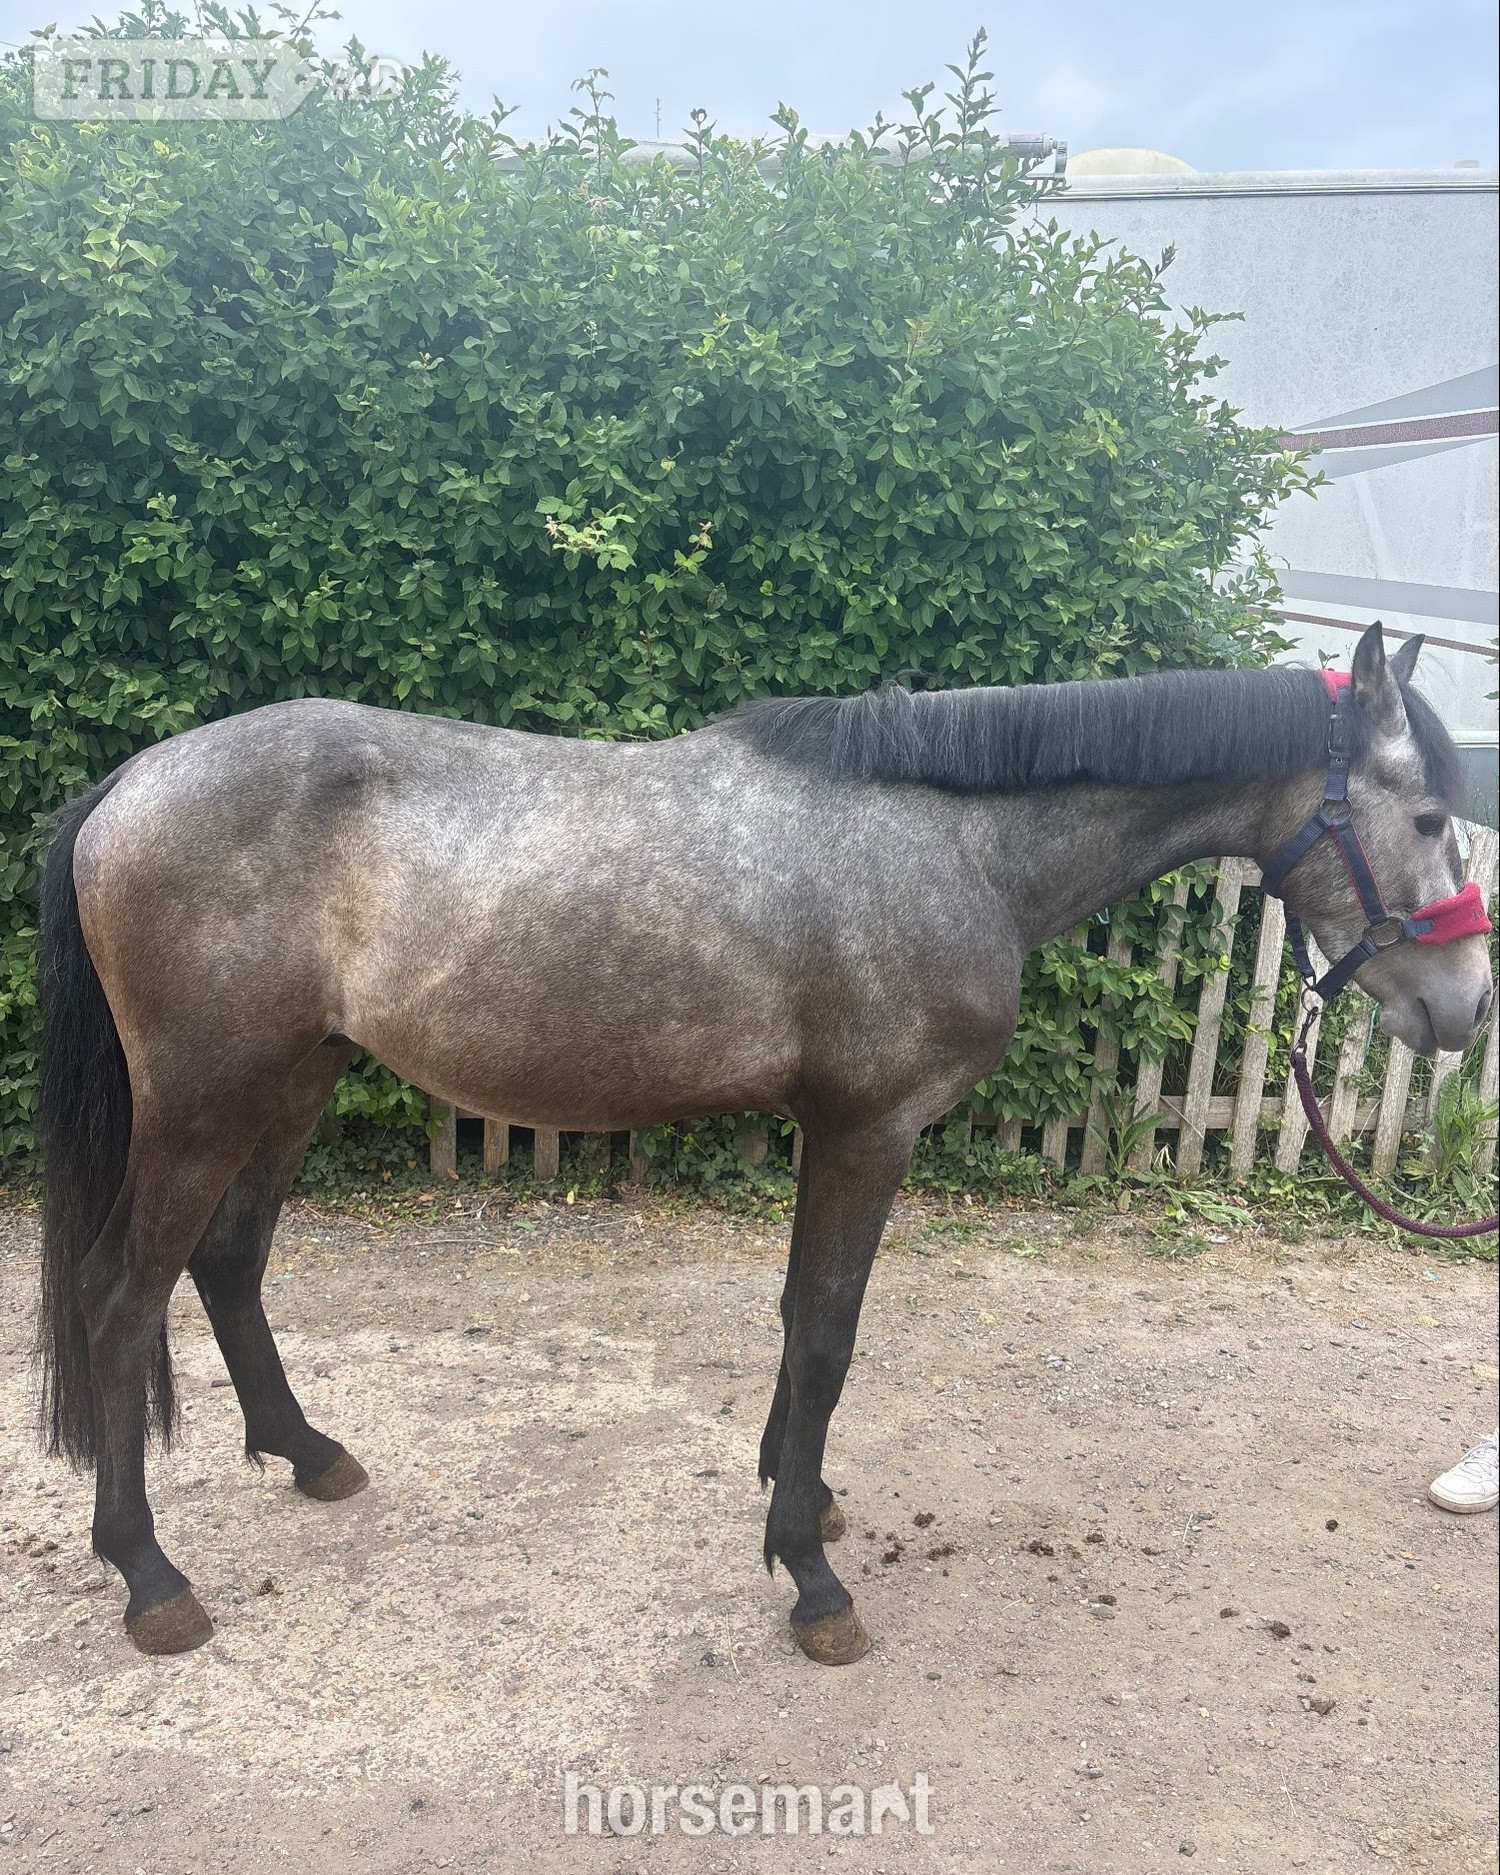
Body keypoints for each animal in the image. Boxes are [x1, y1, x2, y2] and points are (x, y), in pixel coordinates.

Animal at [34, 622, 1493, 1664]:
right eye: (1430, 817)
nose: (1465, 1007)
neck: (953, 838)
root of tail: (129, 782)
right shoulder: (868, 1128)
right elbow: (831, 1331)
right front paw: (812, 1575)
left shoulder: (826, 1129)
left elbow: (800, 1322)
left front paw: (803, 1494)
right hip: (207, 1100)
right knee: (119, 1298)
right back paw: (151, 1578)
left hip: (294, 1081)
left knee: (227, 1265)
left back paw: (309, 1452)